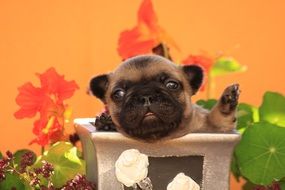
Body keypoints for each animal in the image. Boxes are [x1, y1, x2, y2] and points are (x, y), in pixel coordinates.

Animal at [88, 55, 237, 141]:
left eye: (172, 85)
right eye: (119, 93)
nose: (146, 96)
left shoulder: (216, 127)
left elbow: (218, 118)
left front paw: (227, 100)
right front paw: (106, 123)